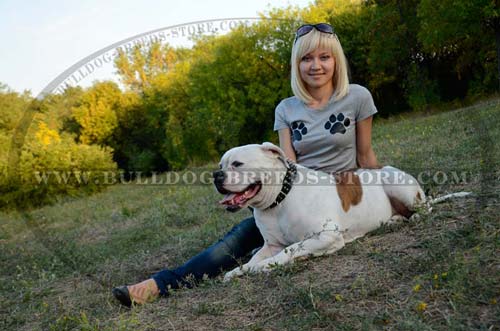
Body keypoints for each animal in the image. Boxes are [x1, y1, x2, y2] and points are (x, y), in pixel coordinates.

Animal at [211, 143, 426, 282]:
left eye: (237, 164)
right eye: (220, 165)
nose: (216, 175)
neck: (280, 200)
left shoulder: (327, 236)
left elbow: (290, 248)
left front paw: (264, 266)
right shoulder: (271, 245)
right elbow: (255, 257)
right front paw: (240, 270)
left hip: (396, 184)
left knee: (424, 207)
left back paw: (416, 216)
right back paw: (394, 220)